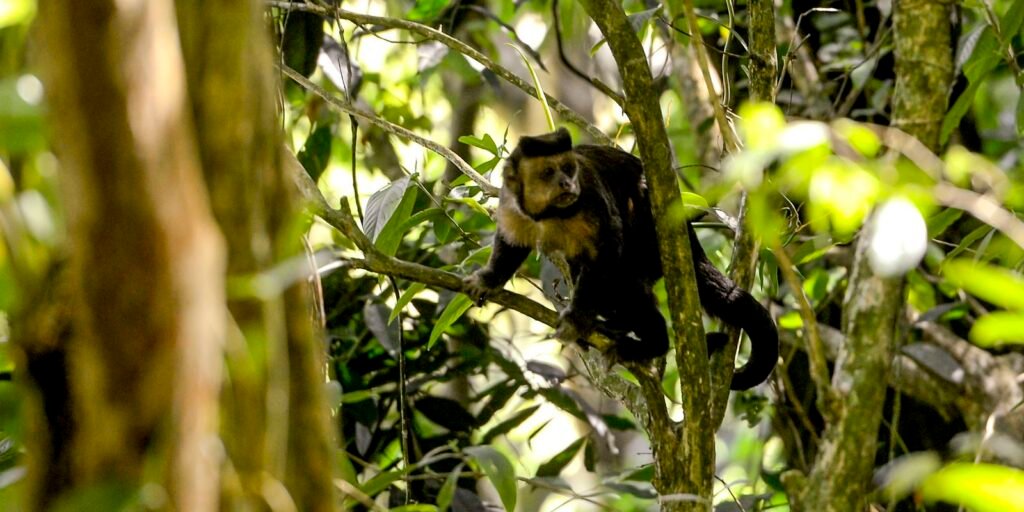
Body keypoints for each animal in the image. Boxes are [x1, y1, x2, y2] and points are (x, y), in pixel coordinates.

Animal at [463, 128, 778, 390]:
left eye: (568, 169)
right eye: (548, 171)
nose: (566, 183)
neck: (550, 212)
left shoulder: (589, 195)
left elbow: (606, 249)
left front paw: (576, 320)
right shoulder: (511, 199)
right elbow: (512, 243)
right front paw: (489, 280)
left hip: (650, 235)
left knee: (623, 278)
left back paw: (652, 342)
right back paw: (613, 326)